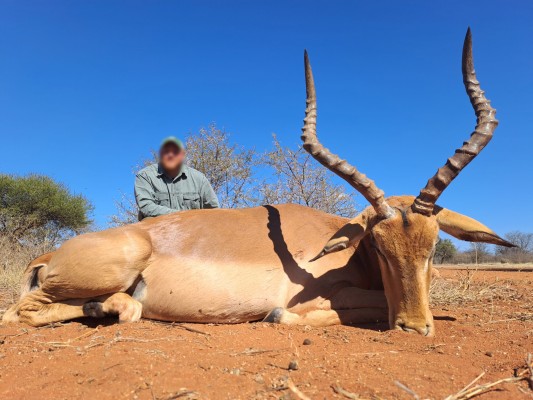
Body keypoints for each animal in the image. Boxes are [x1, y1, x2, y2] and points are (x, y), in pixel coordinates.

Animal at [2, 29, 513, 336]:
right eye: (379, 246)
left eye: (431, 249)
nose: (413, 327)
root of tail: (50, 254)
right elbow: (303, 313)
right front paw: (277, 314)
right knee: (21, 312)